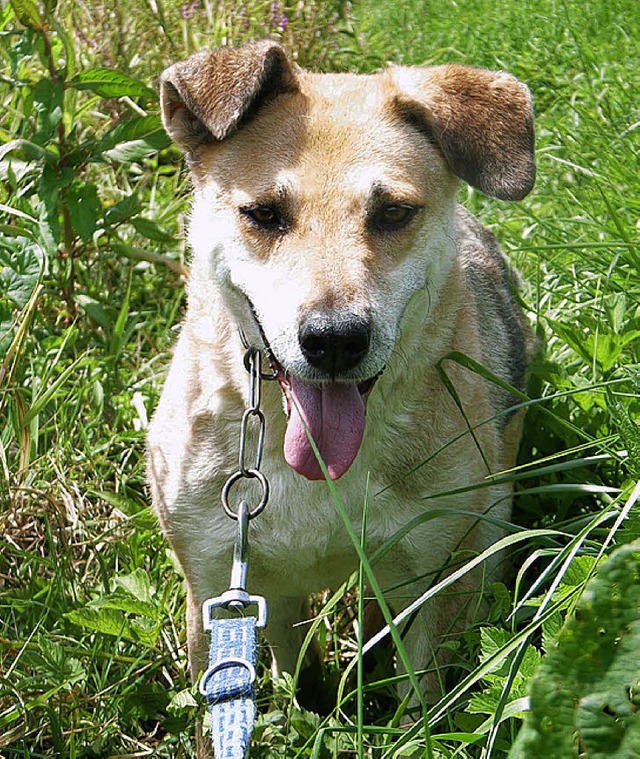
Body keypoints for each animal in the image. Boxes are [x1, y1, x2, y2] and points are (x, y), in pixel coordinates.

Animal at [146, 37, 536, 748]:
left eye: (393, 212)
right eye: (264, 214)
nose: (332, 340)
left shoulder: (430, 573)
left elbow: (422, 697)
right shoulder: (223, 584)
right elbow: (256, 687)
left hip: (489, 517)